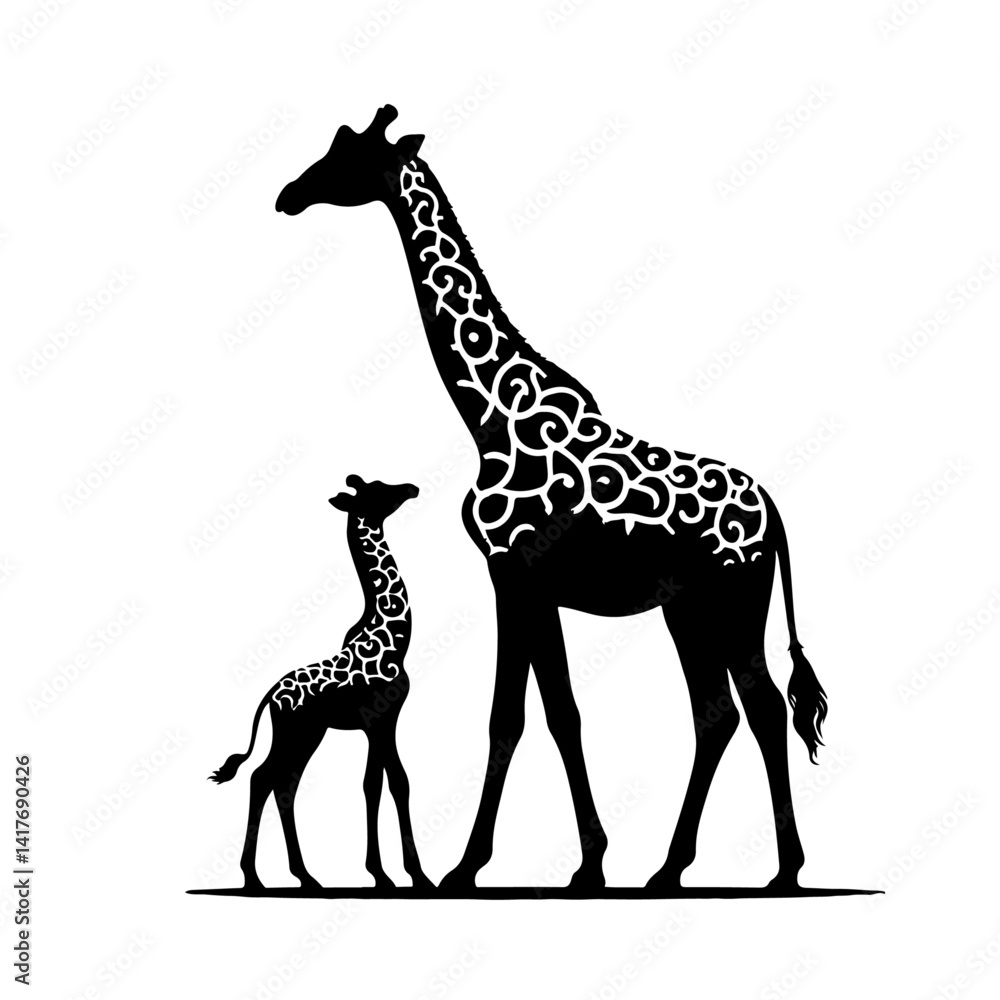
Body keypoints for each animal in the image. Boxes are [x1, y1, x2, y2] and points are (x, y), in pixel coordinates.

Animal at [210, 475, 433, 892]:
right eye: (379, 489)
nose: (411, 487)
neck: (394, 638)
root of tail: (270, 696)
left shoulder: (381, 723)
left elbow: (380, 784)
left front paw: (390, 875)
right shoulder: (382, 719)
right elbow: (389, 783)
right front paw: (408, 876)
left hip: (309, 733)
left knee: (283, 784)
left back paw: (301, 876)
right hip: (295, 731)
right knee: (264, 778)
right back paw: (256, 878)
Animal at [275, 106, 828, 893]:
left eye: (346, 155)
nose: (287, 195)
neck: (489, 415)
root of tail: (776, 515)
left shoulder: (512, 573)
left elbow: (514, 715)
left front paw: (469, 867)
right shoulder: (532, 583)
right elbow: (555, 712)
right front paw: (587, 862)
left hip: (735, 599)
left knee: (763, 705)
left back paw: (783, 871)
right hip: (687, 608)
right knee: (717, 712)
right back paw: (669, 868)